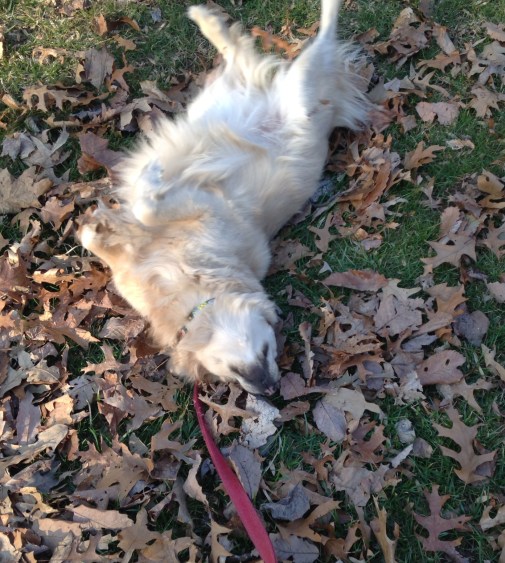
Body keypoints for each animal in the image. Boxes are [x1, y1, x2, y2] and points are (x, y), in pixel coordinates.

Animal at [78, 0, 368, 395]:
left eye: (269, 350)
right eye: (231, 377)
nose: (271, 390)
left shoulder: (207, 208)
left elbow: (148, 208)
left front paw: (148, 181)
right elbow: (98, 238)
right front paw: (98, 225)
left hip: (302, 93)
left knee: (321, 36)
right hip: (259, 88)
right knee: (240, 50)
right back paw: (207, 20)